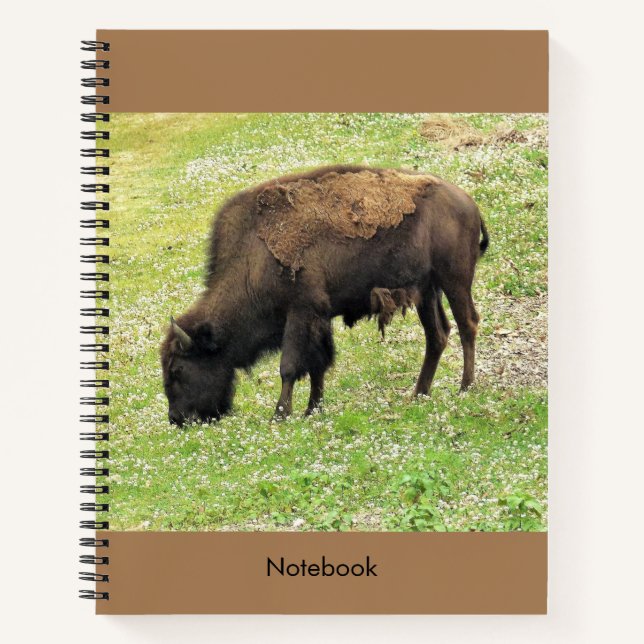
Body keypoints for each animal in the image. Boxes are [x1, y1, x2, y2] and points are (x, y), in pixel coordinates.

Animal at [161, 165, 488, 425]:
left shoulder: (300, 312)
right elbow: (317, 364)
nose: (176, 419)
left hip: (454, 281)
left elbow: (290, 366)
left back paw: (465, 387)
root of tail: (468, 202)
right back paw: (419, 393)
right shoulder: (319, 316)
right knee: (437, 335)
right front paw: (312, 410)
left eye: (177, 369)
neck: (253, 258)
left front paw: (281, 414)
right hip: (426, 291)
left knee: (467, 325)